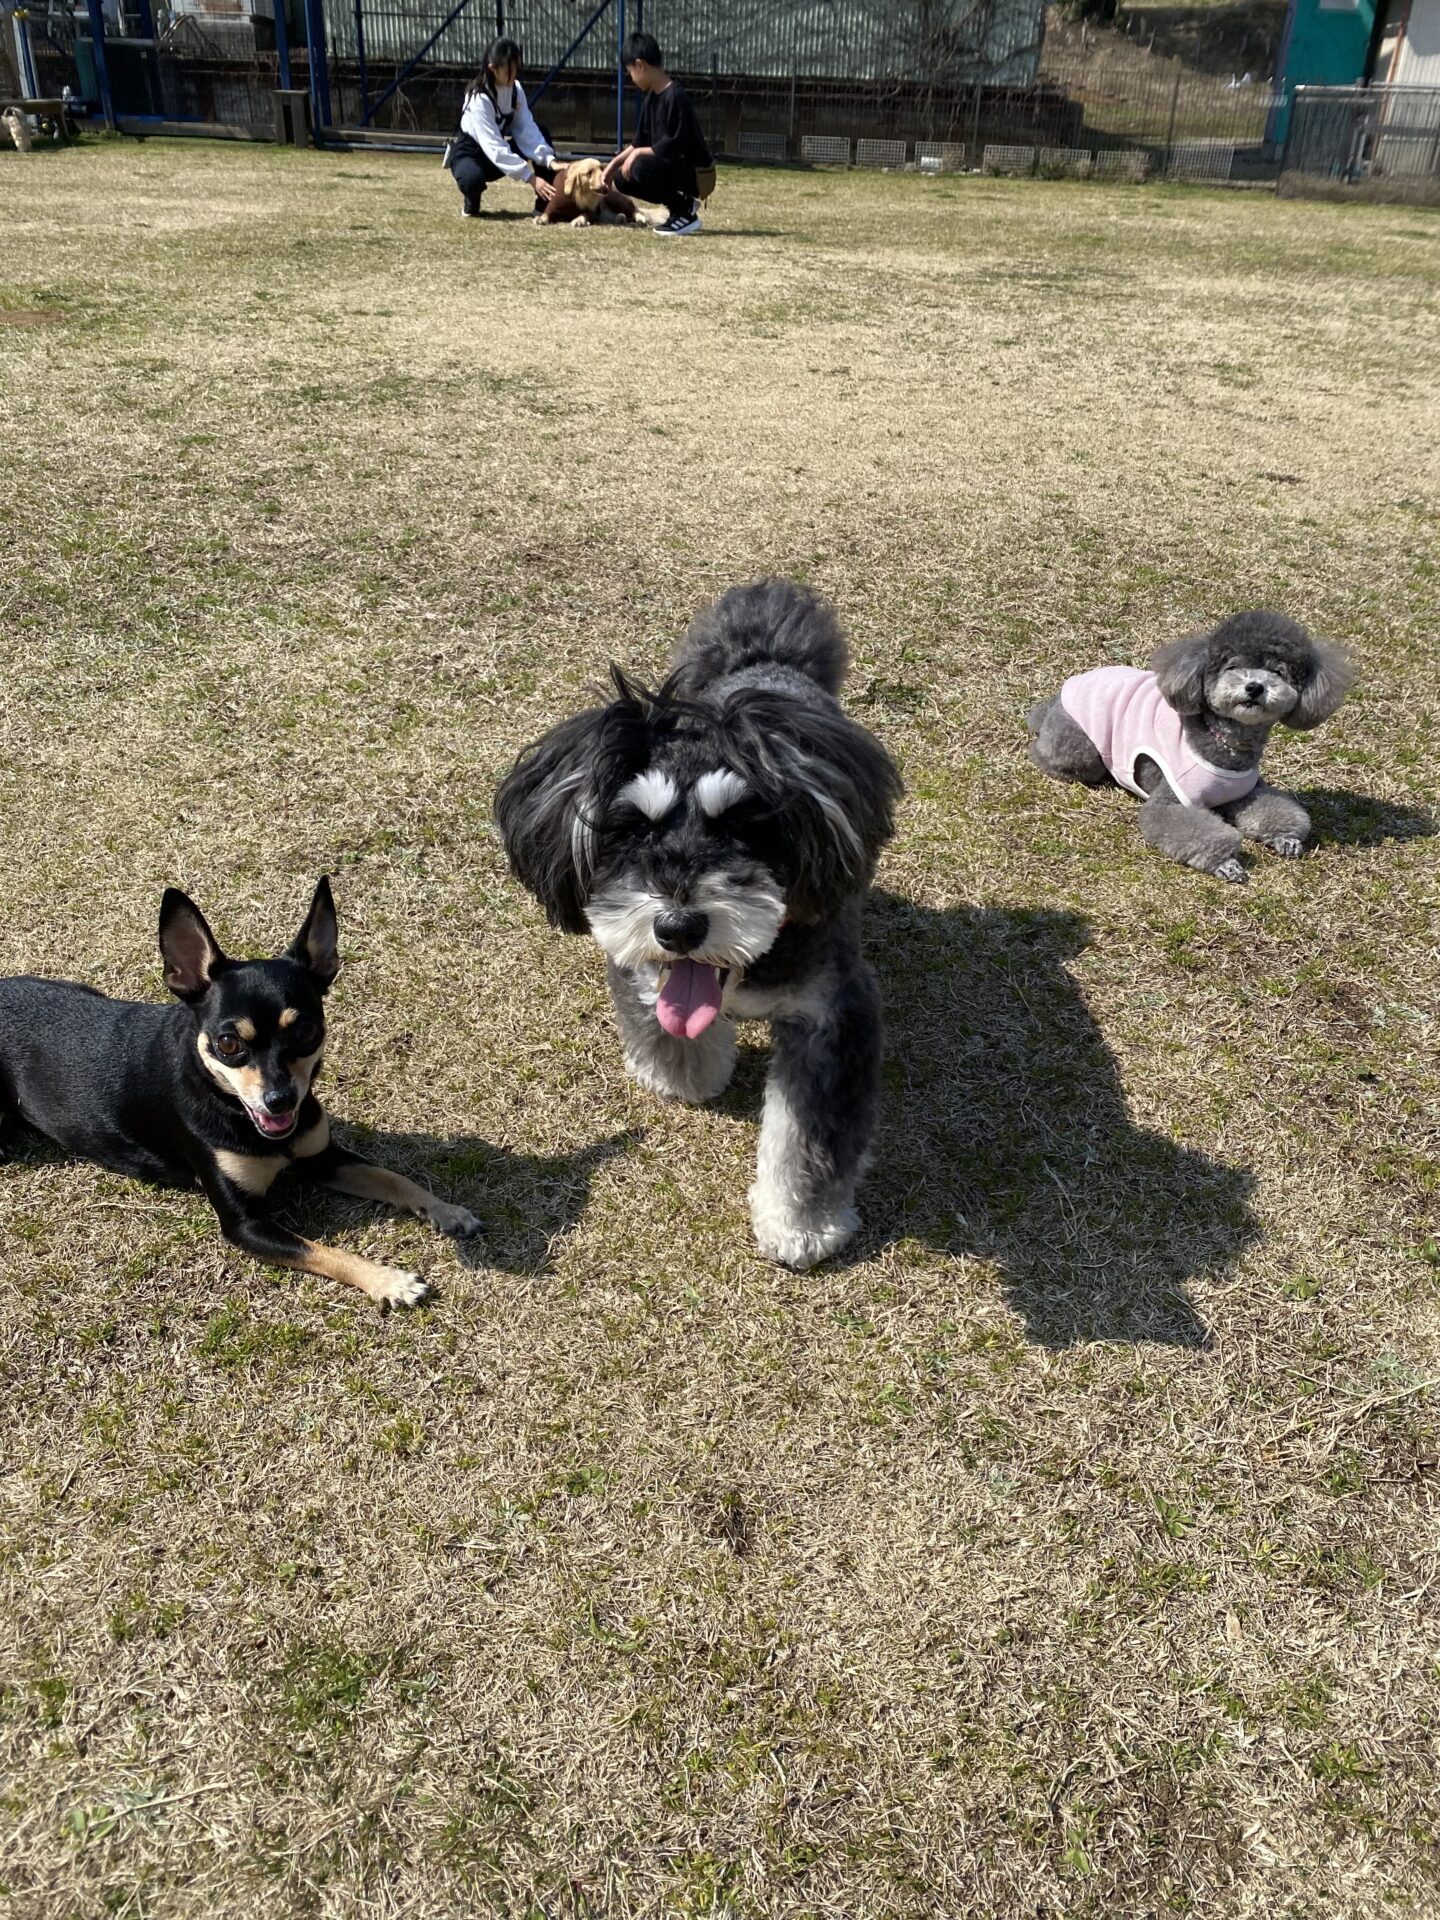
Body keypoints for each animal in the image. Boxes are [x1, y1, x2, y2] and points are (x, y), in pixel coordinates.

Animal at [0, 880, 479, 1307]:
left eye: (306, 1031)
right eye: (229, 1043)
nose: (280, 1100)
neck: (231, 1108)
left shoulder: (322, 1158)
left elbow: (395, 1178)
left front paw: (447, 1211)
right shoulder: (244, 1224)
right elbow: (328, 1252)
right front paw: (388, 1280)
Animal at [495, 579, 902, 1269]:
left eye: (742, 827)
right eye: (633, 829)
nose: (679, 928)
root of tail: (765, 657)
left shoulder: (833, 1016)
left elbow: (808, 1136)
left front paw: (801, 1225)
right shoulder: (636, 964)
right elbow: (662, 1024)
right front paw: (684, 1075)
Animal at [1026, 611, 1352, 881]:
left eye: (1278, 672)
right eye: (1232, 666)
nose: (1254, 687)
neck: (1223, 743)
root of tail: (1059, 695)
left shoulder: (1246, 792)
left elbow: (1274, 810)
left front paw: (1287, 838)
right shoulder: (1171, 800)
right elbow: (1195, 830)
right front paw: (1227, 863)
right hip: (1080, 749)